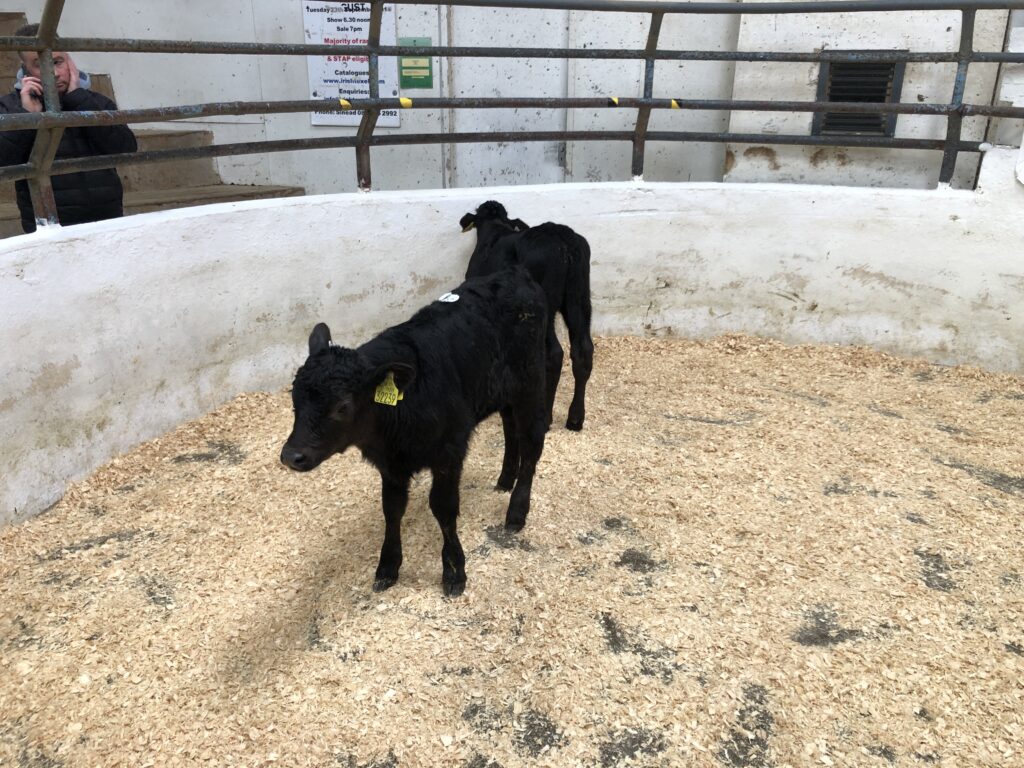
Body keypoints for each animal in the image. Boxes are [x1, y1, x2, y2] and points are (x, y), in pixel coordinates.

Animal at [280, 267, 548, 597]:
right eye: (294, 398)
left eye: (342, 406)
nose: (292, 456)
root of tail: (514, 273)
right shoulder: (390, 464)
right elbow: (392, 508)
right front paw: (387, 566)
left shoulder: (449, 451)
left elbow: (443, 507)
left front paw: (454, 570)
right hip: (502, 392)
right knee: (511, 430)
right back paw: (504, 480)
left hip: (532, 382)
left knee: (532, 441)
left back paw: (517, 510)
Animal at [459, 200, 594, 432]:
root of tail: (564, 239)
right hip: (579, 298)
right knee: (583, 349)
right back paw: (575, 419)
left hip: (545, 305)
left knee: (554, 353)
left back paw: (545, 418)